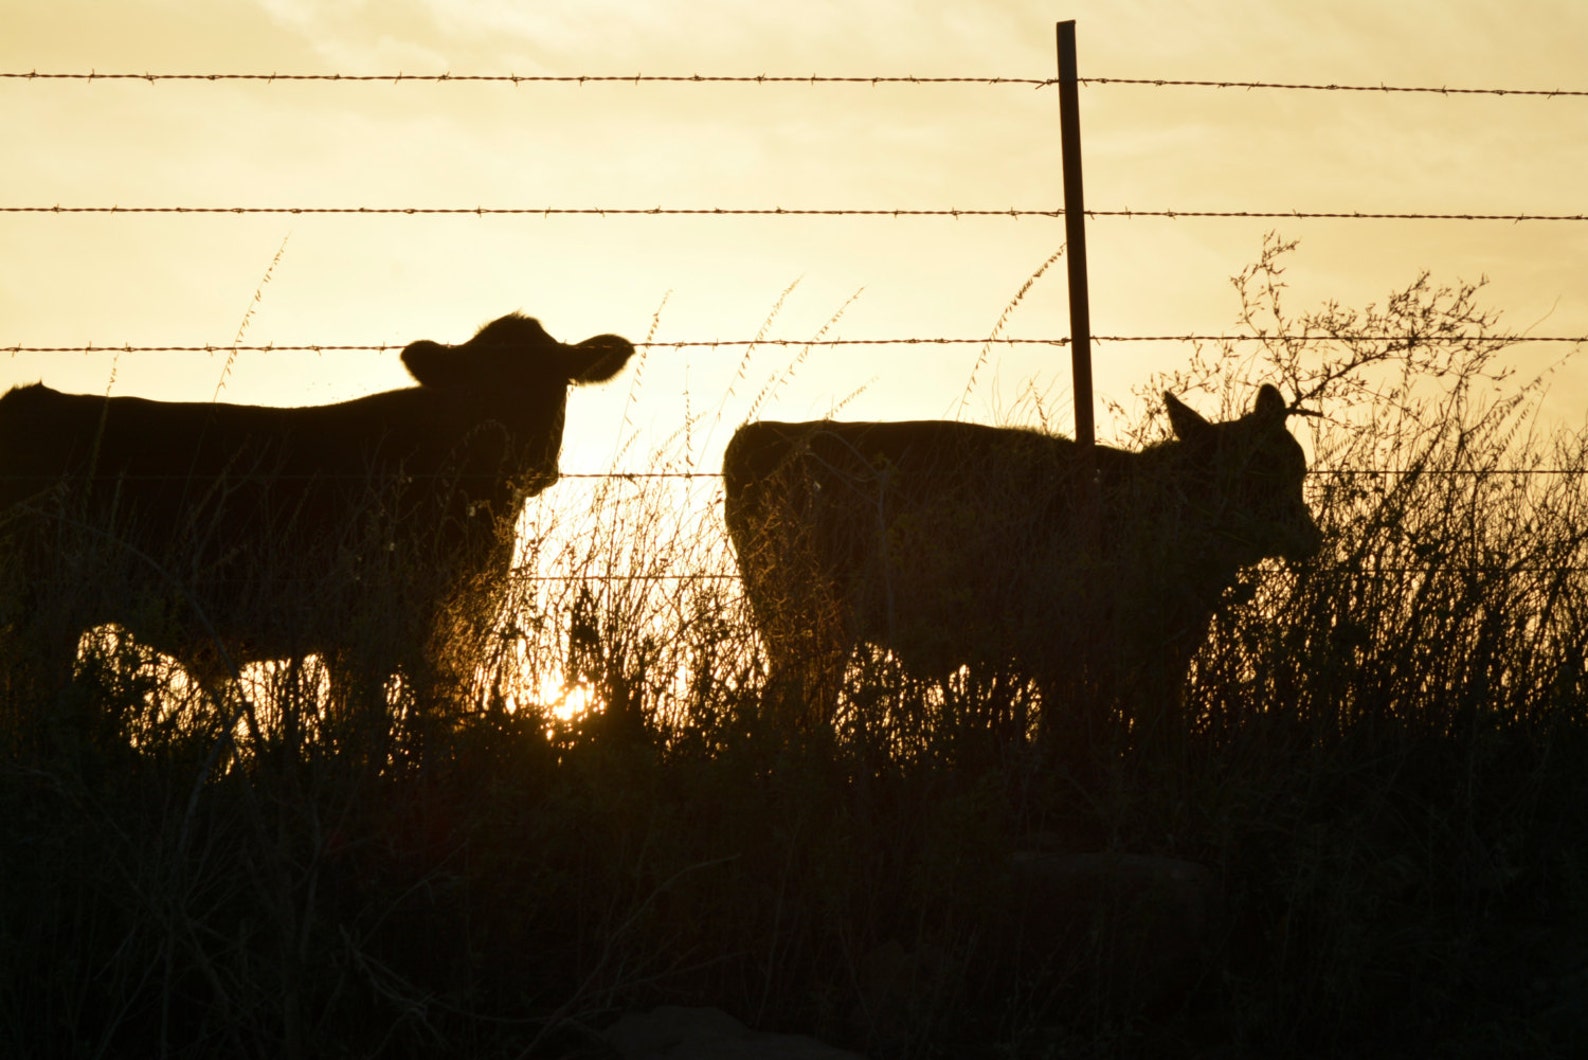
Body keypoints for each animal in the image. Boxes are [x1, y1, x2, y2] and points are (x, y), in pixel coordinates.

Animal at [0, 313, 634, 759]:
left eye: (557, 383)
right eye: (478, 388)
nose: (525, 460)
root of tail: (29, 398)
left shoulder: (448, 632)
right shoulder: (363, 634)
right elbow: (366, 732)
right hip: (40, 606)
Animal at [721, 384, 1322, 754]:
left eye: (1294, 467)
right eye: (1251, 471)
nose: (1309, 537)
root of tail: (763, 432)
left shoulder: (1157, 661)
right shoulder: (1072, 654)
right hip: (811, 626)